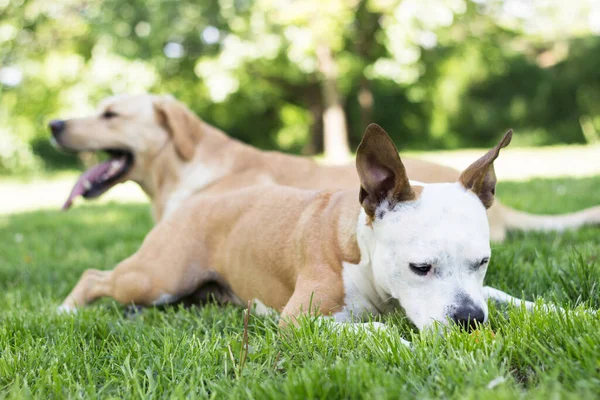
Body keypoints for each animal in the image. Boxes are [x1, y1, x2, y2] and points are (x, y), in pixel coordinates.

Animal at [59, 126, 548, 342]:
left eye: (482, 262)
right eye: (420, 267)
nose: (470, 320)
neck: (360, 250)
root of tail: (194, 203)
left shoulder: (486, 290)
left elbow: (509, 298)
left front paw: (557, 311)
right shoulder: (299, 319)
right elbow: (376, 330)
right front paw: (401, 340)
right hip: (157, 277)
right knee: (94, 276)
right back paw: (66, 310)